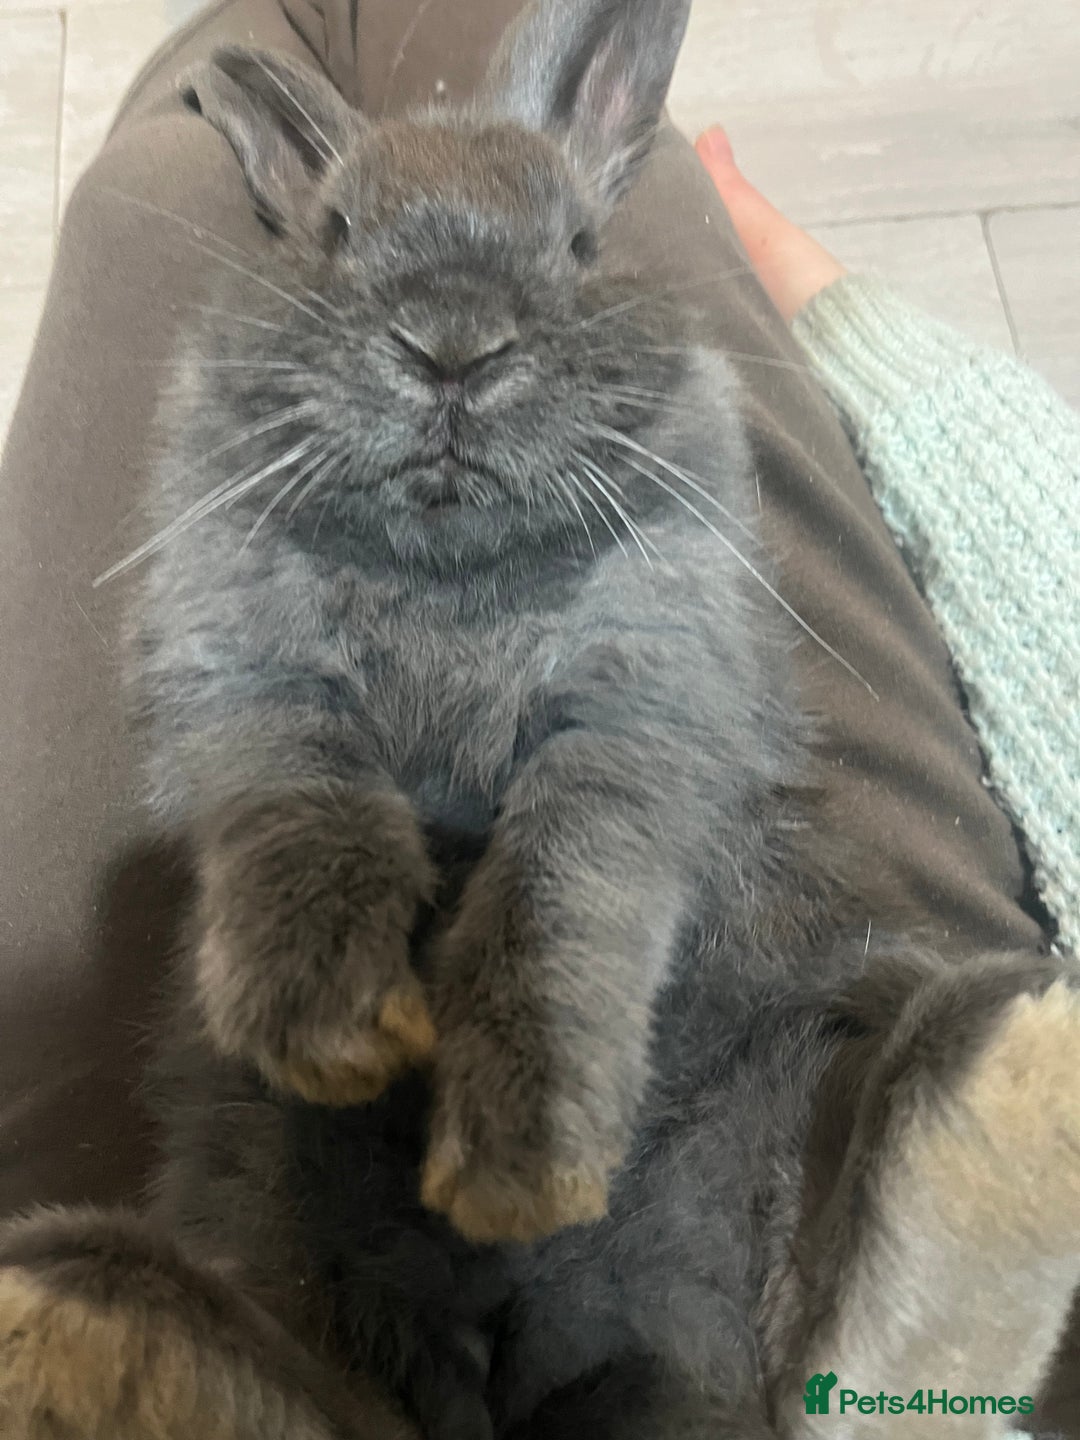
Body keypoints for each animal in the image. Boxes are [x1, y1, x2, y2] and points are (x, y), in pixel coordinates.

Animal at [3, 1, 1080, 1437]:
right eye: (335, 231)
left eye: (577, 244)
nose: (453, 348)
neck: (452, 566)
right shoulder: (247, 662)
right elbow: (306, 813)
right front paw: (333, 1035)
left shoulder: (637, 707)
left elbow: (559, 911)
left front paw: (518, 1168)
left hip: (789, 1103)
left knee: (860, 1345)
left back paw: (1023, 1074)